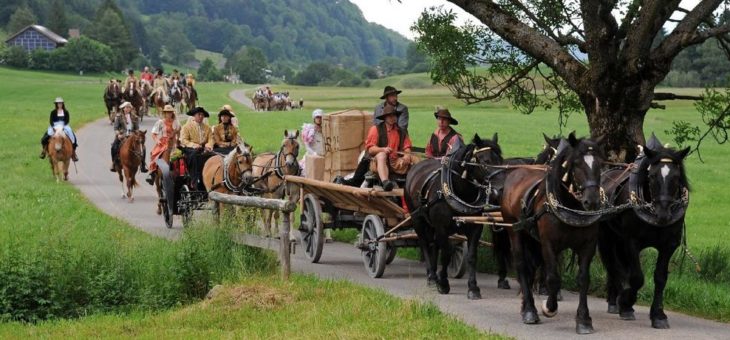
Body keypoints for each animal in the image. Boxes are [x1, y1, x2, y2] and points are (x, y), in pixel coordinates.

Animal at [400, 133, 504, 300]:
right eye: (485, 161)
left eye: (501, 160)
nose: (500, 190)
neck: (459, 191)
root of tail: (416, 166)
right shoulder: (442, 228)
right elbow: (446, 253)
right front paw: (443, 284)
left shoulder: (475, 227)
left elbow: (471, 256)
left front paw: (473, 288)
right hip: (418, 220)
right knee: (425, 244)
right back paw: (431, 277)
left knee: (434, 245)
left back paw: (434, 274)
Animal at [498, 131, 604, 334]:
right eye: (576, 163)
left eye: (600, 164)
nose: (592, 201)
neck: (569, 206)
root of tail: (516, 172)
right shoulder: (548, 244)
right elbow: (553, 277)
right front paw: (549, 307)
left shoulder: (588, 245)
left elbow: (583, 279)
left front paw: (584, 319)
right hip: (515, 231)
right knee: (522, 266)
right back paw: (530, 311)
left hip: (533, 240)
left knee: (532, 268)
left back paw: (526, 306)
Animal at [596, 133, 688, 330]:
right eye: (651, 176)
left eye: (676, 177)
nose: (663, 214)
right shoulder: (632, 241)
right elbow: (637, 277)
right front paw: (626, 302)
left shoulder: (669, 245)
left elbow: (660, 278)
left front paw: (659, 315)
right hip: (607, 237)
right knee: (613, 266)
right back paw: (618, 302)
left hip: (619, 240)